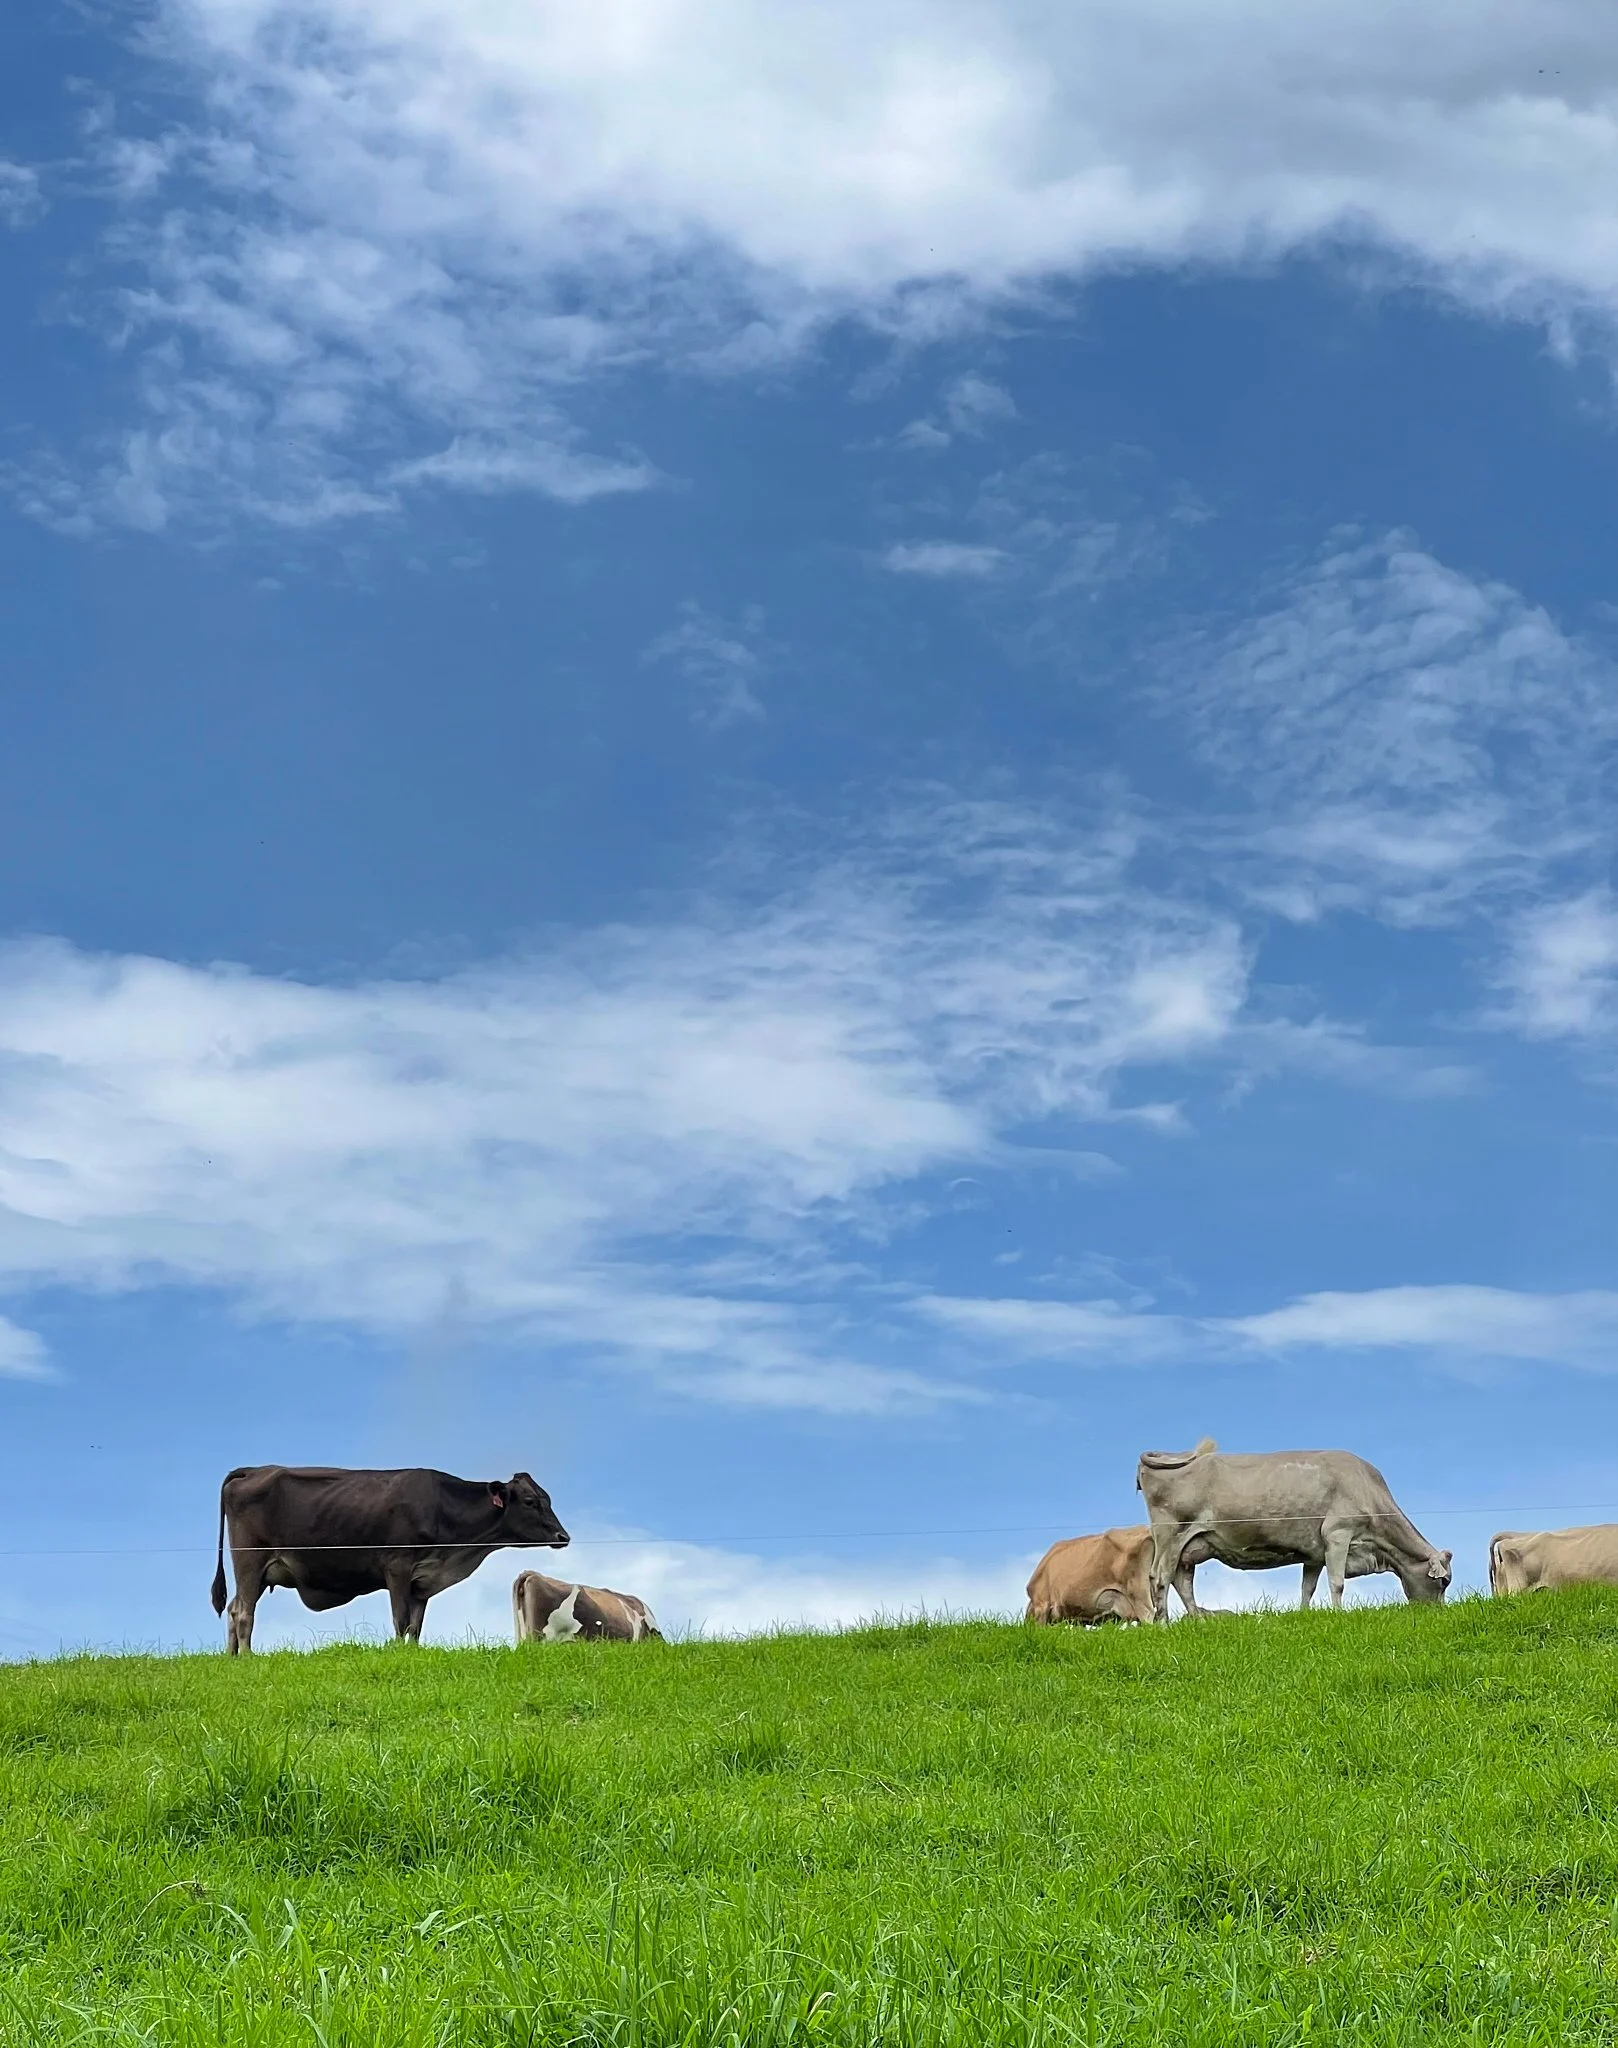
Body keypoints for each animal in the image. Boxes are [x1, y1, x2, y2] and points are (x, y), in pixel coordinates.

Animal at [211, 1464, 569, 1653]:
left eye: (547, 1498)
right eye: (530, 1501)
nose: (563, 1536)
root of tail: (253, 1470)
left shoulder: (422, 1581)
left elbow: (416, 1624)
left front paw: (411, 1652)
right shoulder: (397, 1566)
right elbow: (400, 1619)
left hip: (260, 1572)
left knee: (233, 1608)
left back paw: (231, 1657)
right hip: (250, 1561)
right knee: (243, 1612)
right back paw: (248, 1656)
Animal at [1136, 1438, 1451, 1619]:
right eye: (1444, 1582)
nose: (1439, 1613)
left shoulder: (1315, 1553)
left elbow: (1307, 1588)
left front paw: (1304, 1615)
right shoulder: (1338, 1533)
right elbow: (1337, 1582)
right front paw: (1339, 1615)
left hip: (1191, 1546)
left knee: (1183, 1581)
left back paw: (1198, 1622)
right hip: (1170, 1535)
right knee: (1160, 1578)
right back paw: (1163, 1625)